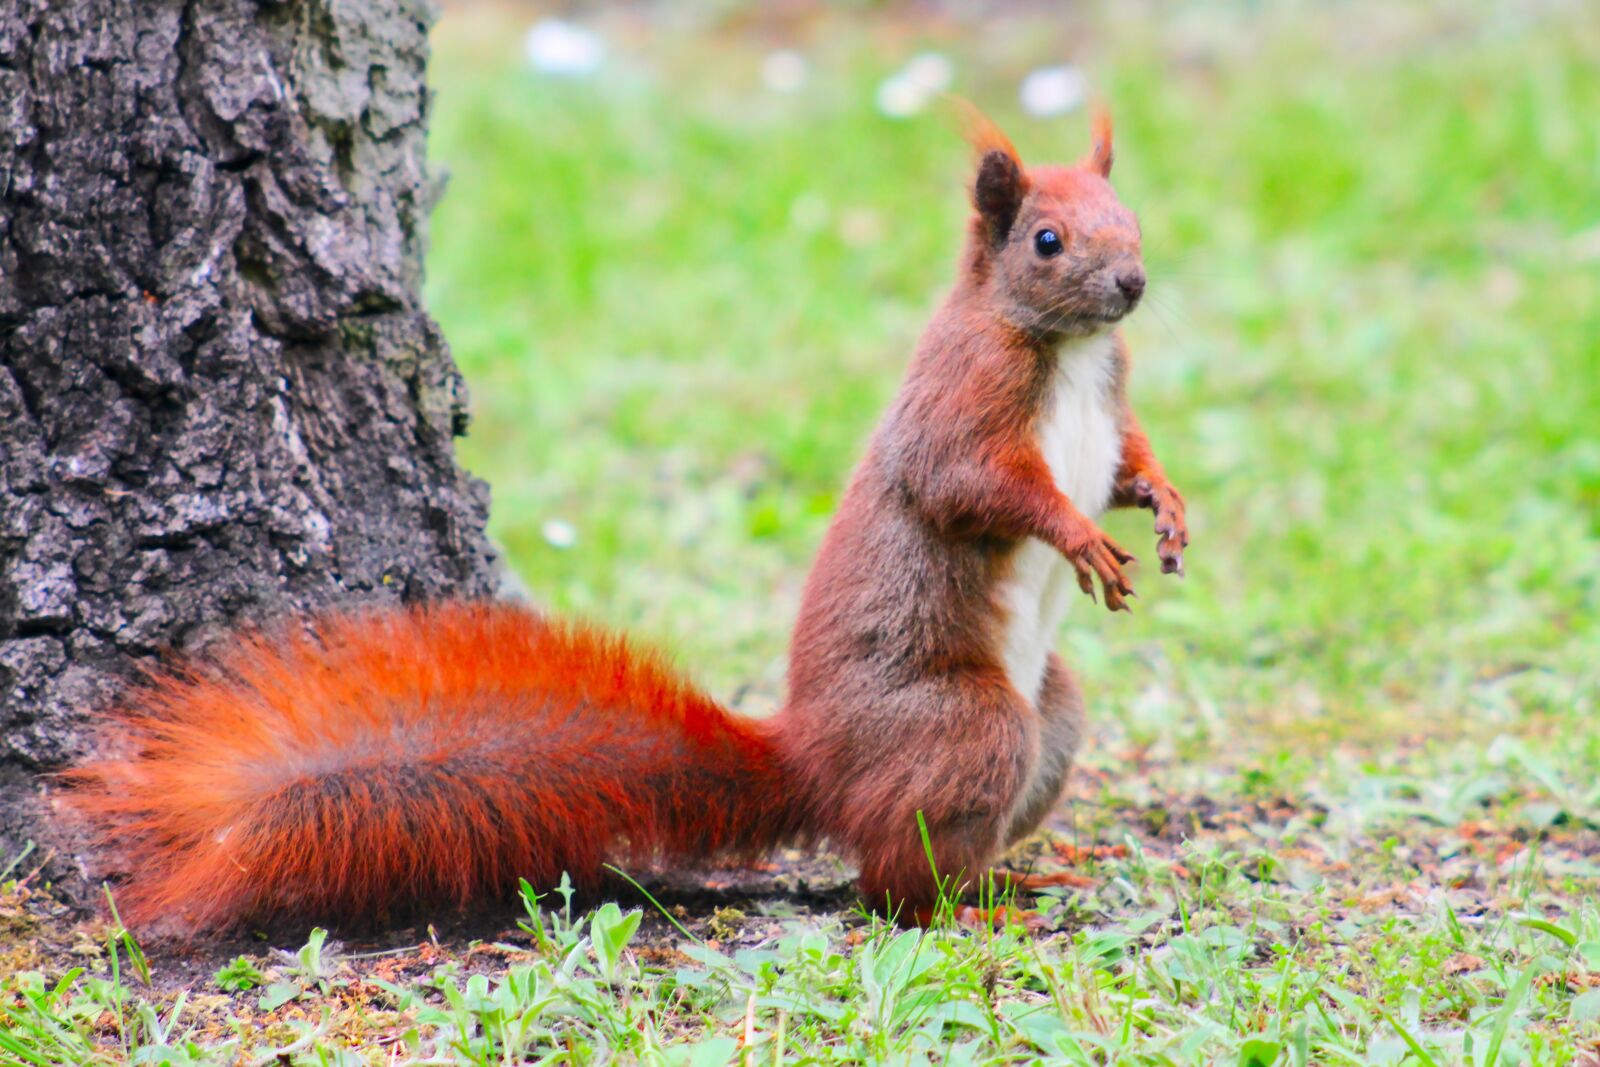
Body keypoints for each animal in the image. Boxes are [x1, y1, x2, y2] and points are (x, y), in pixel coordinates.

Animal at [65, 107, 1188, 935]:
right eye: (1047, 240)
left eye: (1131, 215)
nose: (1135, 282)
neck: (1069, 350)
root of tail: (812, 763)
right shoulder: (961, 403)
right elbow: (974, 485)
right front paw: (1078, 536)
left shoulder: (1106, 409)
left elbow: (1126, 462)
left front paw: (1167, 507)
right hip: (966, 723)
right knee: (892, 883)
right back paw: (980, 901)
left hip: (1049, 713)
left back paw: (1020, 874)